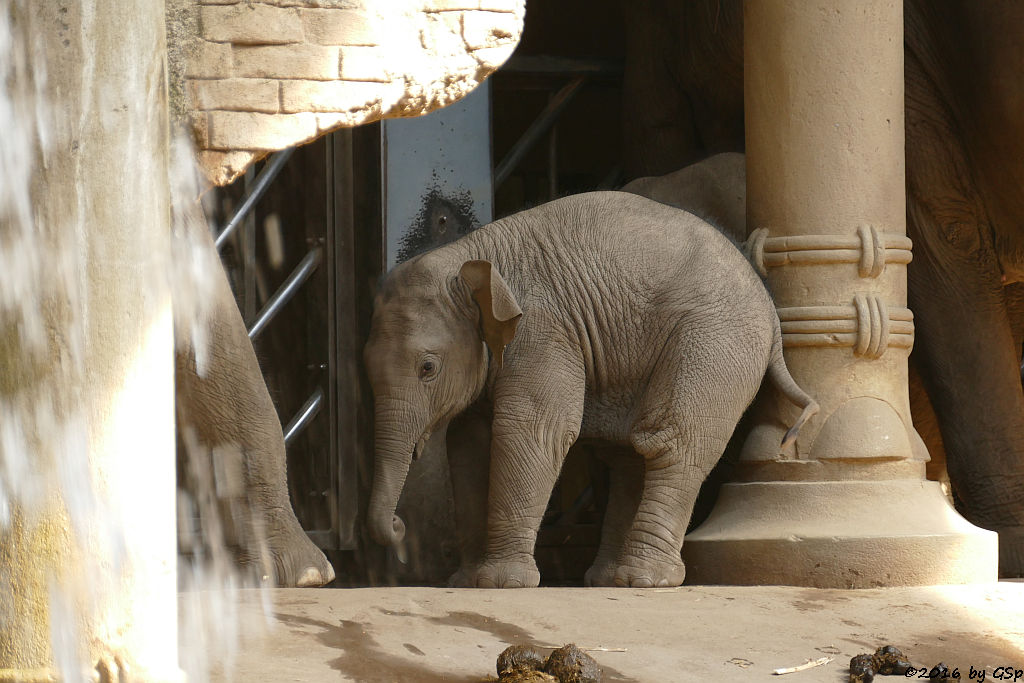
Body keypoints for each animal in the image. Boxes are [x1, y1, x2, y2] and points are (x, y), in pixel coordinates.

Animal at [366, 192, 815, 589]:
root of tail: (769, 306)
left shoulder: (543, 331)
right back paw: (610, 580)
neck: (470, 255)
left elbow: (532, 431)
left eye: (428, 368)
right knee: (632, 453)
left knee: (669, 443)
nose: (400, 527)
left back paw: (647, 580)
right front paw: (466, 582)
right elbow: (466, 445)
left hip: (716, 345)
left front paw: (502, 583)